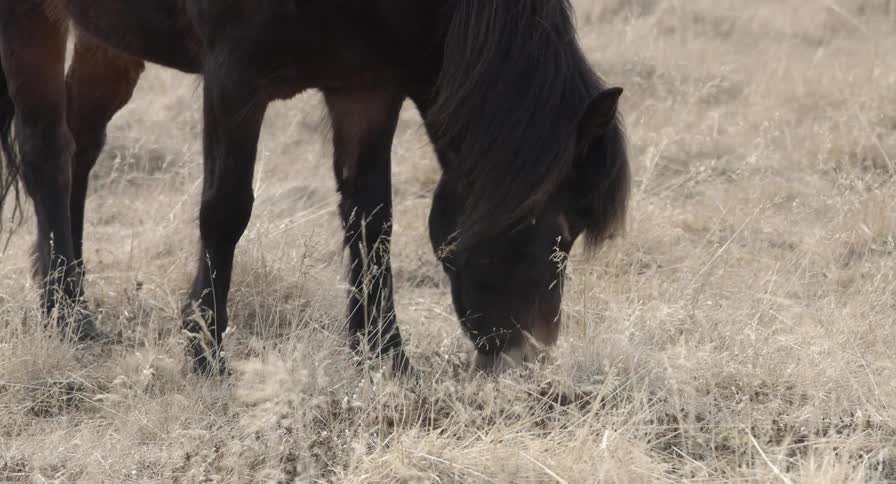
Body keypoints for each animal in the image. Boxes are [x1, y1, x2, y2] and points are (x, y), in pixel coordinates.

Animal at [0, 0, 630, 376]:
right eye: (560, 233)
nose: (530, 356)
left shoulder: (366, 90)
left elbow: (371, 217)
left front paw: (383, 354)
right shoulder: (234, 81)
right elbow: (225, 211)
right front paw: (205, 352)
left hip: (111, 37)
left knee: (81, 144)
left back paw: (62, 291)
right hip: (32, 19)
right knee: (46, 151)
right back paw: (69, 316)